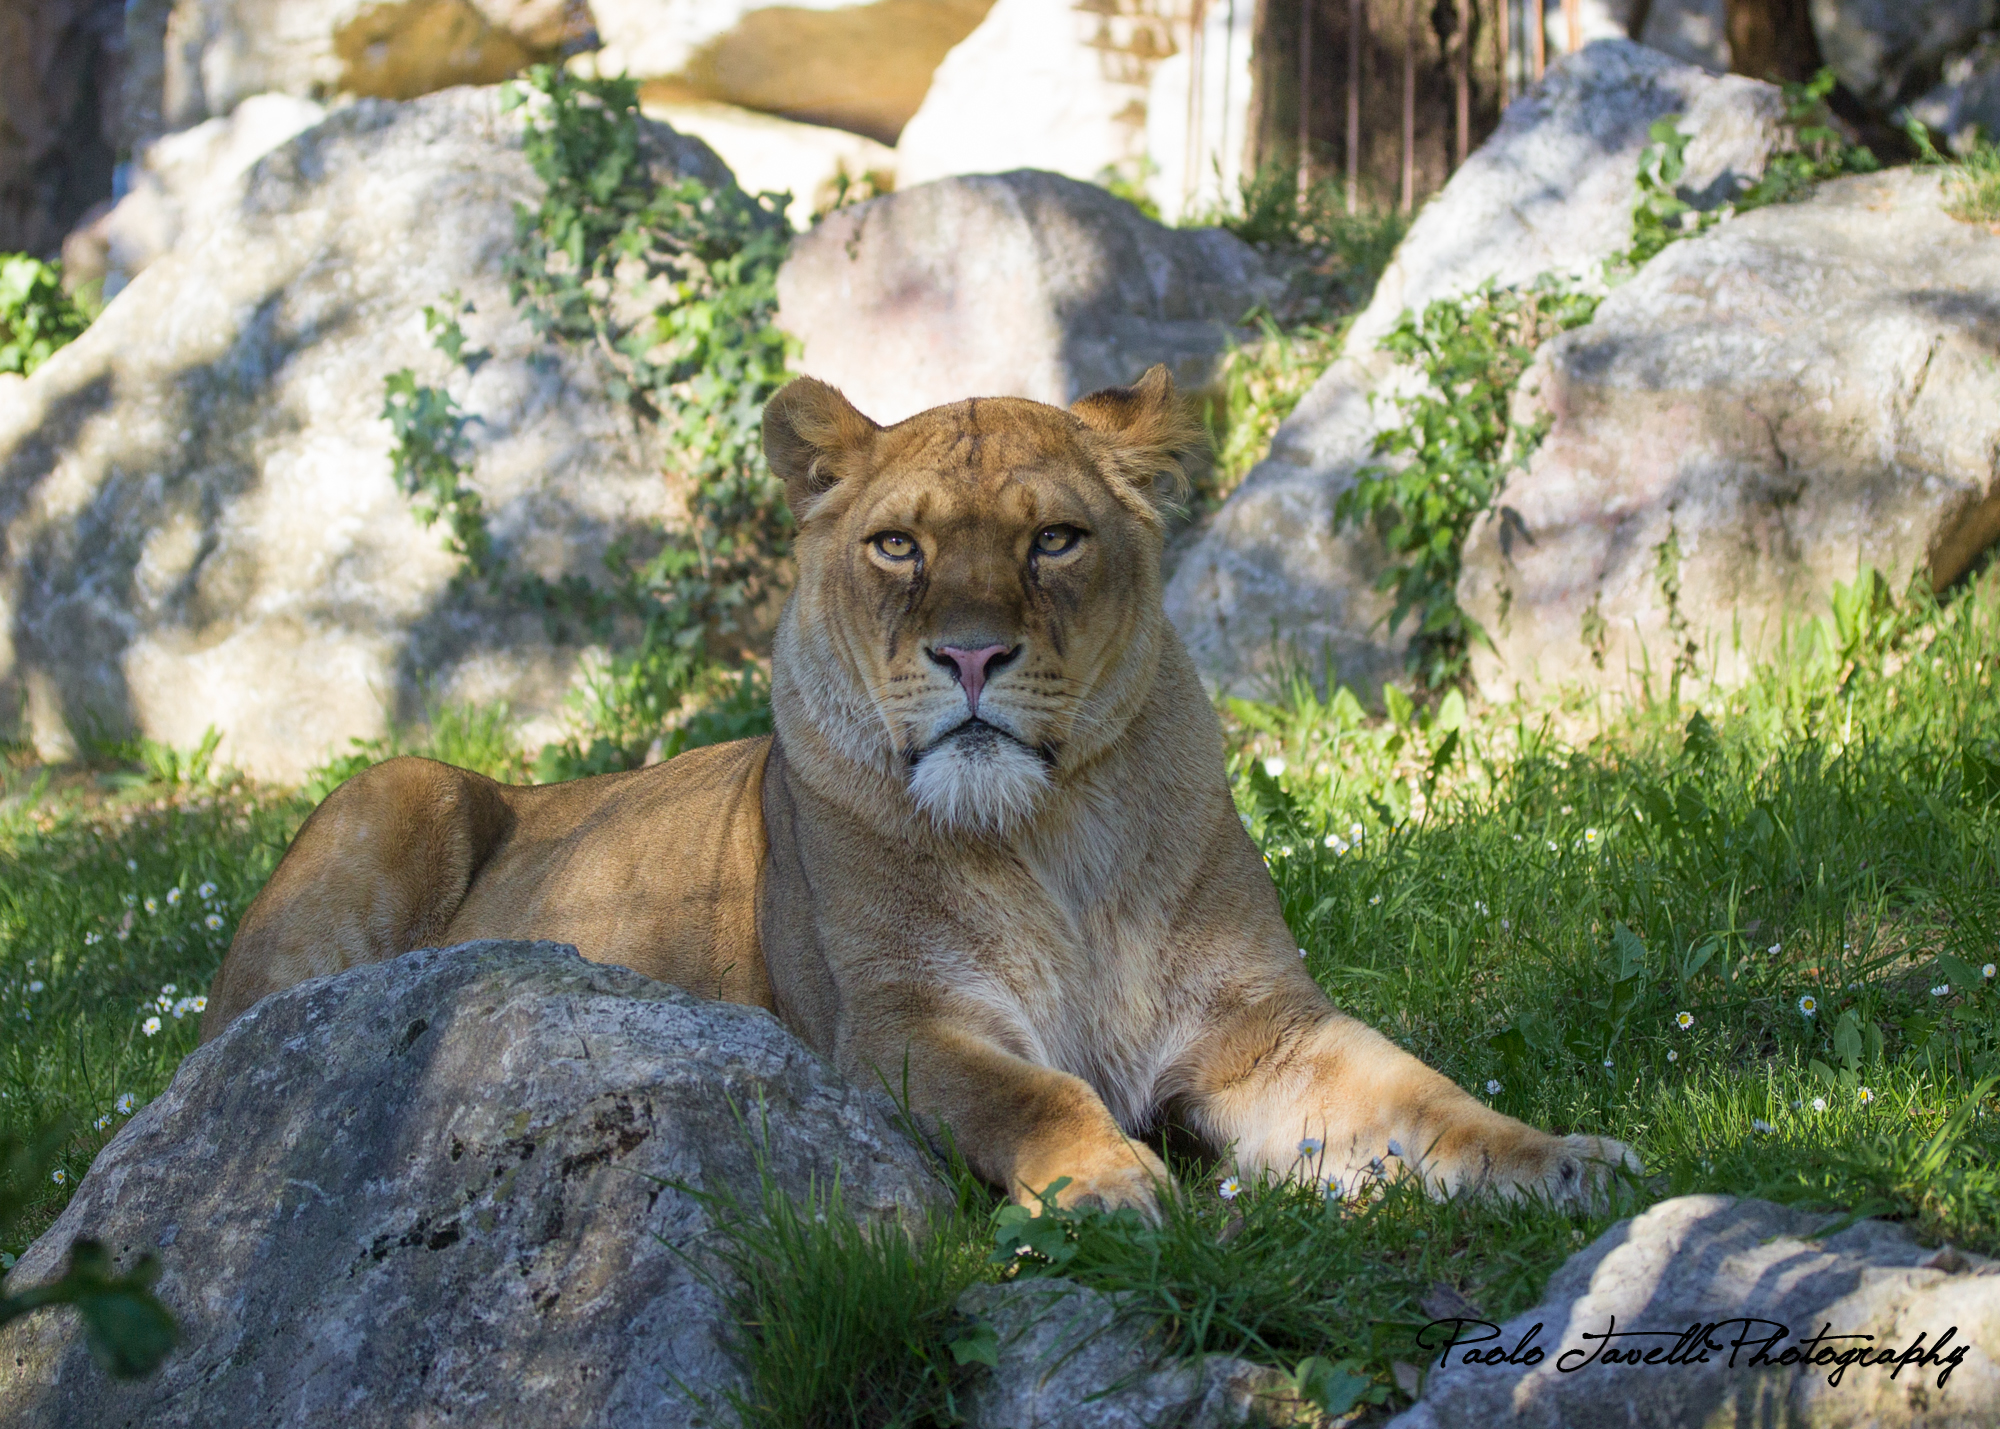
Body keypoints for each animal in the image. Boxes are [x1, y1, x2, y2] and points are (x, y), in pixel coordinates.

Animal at [202, 366, 1637, 1213]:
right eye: (898, 546)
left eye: (1053, 539)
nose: (970, 655)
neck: (1052, 840)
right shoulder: (893, 1029)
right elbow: (1035, 1091)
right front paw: (1107, 1182)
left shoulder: (1260, 1030)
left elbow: (1423, 1099)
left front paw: (1566, 1160)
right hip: (398, 787)